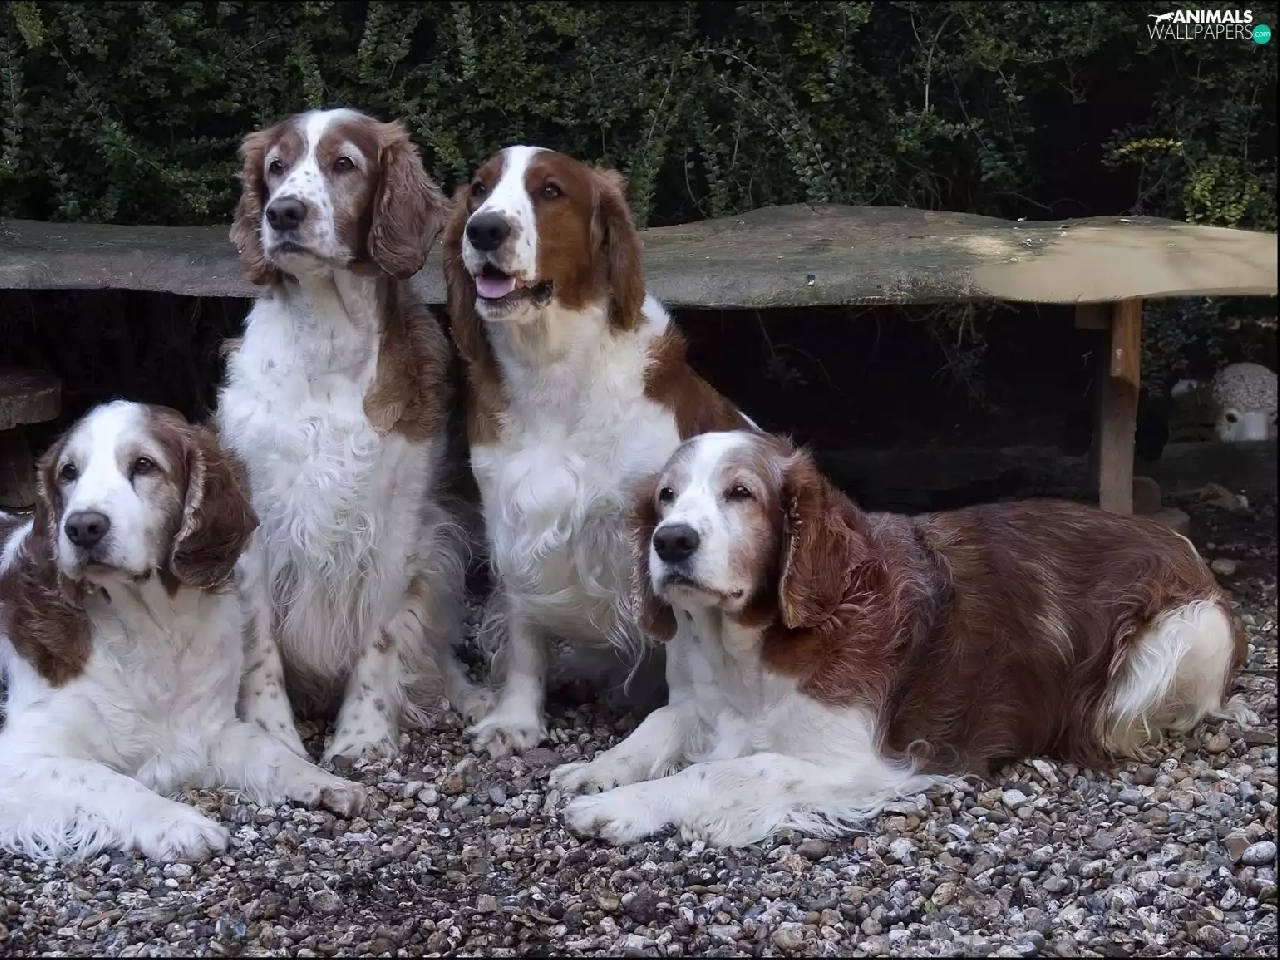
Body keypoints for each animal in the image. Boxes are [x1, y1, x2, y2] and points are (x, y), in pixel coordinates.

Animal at [0, 401, 365, 861]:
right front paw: (178, 822)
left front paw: (327, 782)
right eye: (69, 472)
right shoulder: (20, 755)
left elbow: (270, 751)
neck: (151, 630)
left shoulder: (211, 728)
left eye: (144, 464)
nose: (82, 527)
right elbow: (107, 780)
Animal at [219, 108, 488, 764]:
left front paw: (361, 736)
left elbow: (381, 639)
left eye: (345, 163)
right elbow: (260, 644)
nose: (283, 213)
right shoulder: (255, 526)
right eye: (276, 167)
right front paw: (273, 736)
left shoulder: (399, 526)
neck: (328, 342)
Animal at [443, 146, 754, 757]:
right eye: (479, 189)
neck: (553, 371)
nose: (484, 228)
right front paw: (516, 719)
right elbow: (524, 635)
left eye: (551, 191)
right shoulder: (512, 518)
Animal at [554, 430, 1250, 847]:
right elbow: (660, 726)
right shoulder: (705, 704)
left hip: (1185, 636)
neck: (753, 648)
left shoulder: (852, 761)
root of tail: (1181, 544)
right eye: (665, 497)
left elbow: (722, 771)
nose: (670, 540)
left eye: (741, 493)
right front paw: (599, 770)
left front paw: (629, 805)